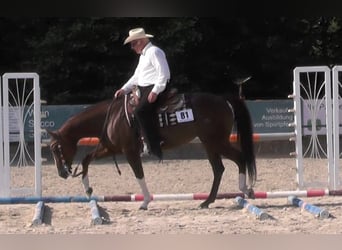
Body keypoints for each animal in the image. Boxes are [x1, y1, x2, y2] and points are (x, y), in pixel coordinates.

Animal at [48, 91, 256, 209]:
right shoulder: (110, 148)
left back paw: (245, 189)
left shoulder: (129, 151)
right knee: (219, 168)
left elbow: (138, 174)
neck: (111, 117)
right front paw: (88, 190)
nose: (61, 173)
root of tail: (223, 100)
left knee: (239, 158)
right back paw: (208, 201)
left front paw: (146, 201)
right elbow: (86, 159)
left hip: (216, 142)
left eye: (56, 148)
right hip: (209, 144)